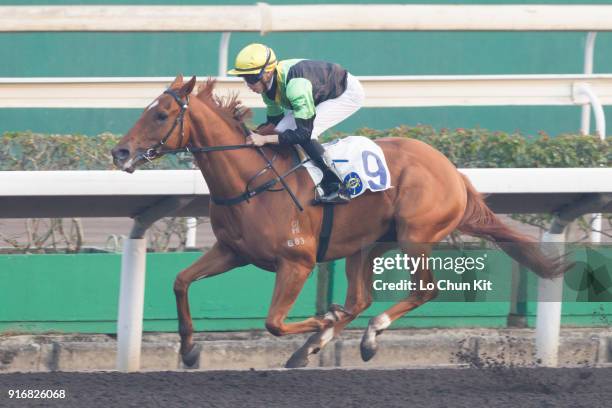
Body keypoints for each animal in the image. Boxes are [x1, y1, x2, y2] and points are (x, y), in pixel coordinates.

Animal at [110, 75, 560, 368]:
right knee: (360, 298)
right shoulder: (231, 251)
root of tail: (453, 172)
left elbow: (274, 322)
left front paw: (322, 321)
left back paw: (367, 336)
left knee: (423, 290)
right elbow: (180, 281)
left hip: (416, 235)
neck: (250, 180)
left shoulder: (297, 262)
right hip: (368, 243)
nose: (120, 152)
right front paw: (188, 350)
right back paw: (313, 346)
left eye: (162, 114)